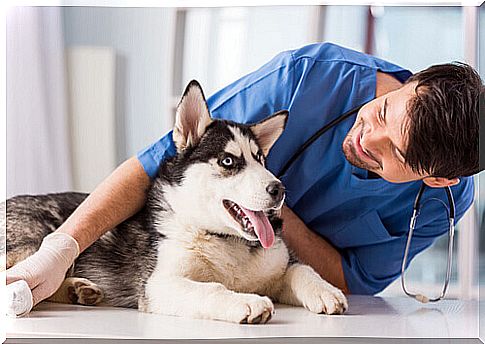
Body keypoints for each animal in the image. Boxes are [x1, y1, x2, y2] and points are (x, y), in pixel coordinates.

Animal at [4, 81, 344, 326]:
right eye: (229, 161)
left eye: (261, 160)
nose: (279, 189)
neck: (225, 242)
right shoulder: (159, 284)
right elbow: (211, 288)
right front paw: (245, 301)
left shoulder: (278, 264)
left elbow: (300, 269)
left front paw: (326, 290)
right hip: (33, 243)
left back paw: (78, 290)